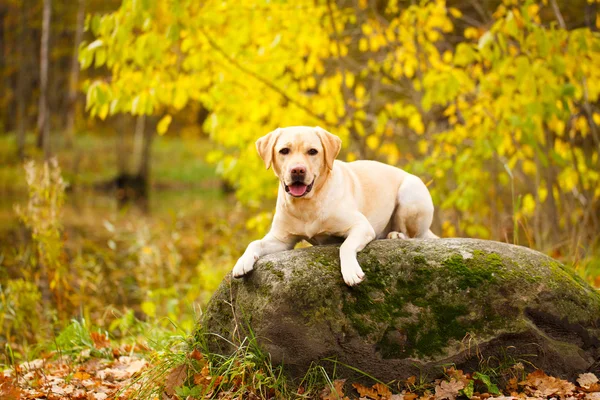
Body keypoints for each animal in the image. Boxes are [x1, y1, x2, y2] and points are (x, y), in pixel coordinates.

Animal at [232, 125, 438, 284]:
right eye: (284, 151)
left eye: (312, 151)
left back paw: (396, 235)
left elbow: (345, 246)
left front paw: (350, 271)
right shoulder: (281, 239)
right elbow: (255, 242)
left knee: (414, 235)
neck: (307, 204)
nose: (297, 170)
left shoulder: (361, 226)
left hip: (410, 193)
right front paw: (242, 261)